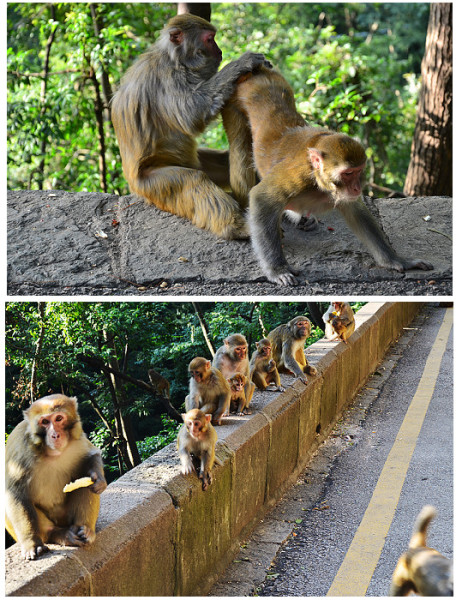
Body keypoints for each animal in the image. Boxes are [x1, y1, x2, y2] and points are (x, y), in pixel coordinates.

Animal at [5, 396, 107, 560]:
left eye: (59, 418)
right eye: (45, 422)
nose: (55, 435)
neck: (51, 452)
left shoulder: (78, 439)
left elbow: (91, 455)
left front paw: (99, 480)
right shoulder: (20, 448)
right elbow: (15, 492)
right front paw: (31, 543)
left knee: (83, 481)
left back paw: (85, 530)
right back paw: (57, 534)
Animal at [222, 65, 434, 286]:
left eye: (359, 171)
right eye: (348, 173)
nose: (357, 187)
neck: (318, 182)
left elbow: (355, 210)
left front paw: (395, 260)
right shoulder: (297, 177)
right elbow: (261, 198)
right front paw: (277, 269)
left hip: (280, 84)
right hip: (233, 101)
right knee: (240, 149)